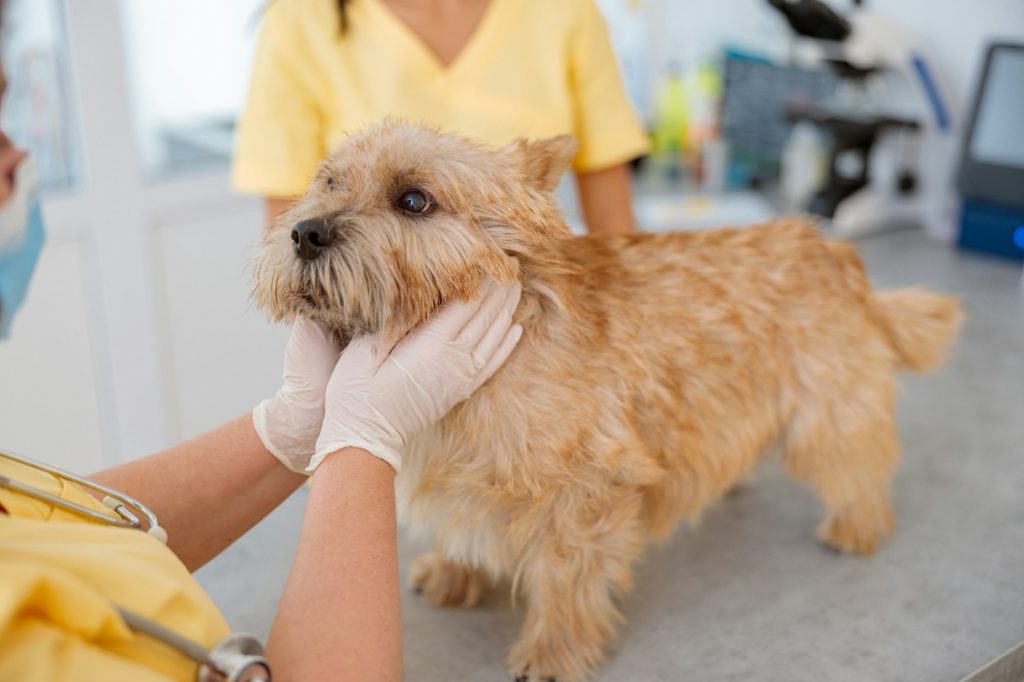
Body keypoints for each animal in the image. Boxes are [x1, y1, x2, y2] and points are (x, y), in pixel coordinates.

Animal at [251, 119, 962, 675]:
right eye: (329, 181)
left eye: (414, 200)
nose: (305, 232)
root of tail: (836, 252)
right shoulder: (455, 477)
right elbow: (460, 529)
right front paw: (455, 572)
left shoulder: (586, 492)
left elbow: (566, 581)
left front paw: (553, 654)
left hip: (830, 414)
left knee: (861, 465)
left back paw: (856, 527)